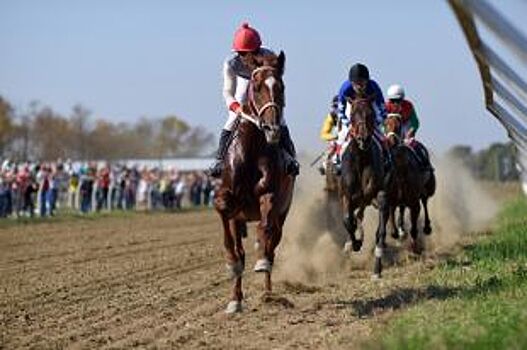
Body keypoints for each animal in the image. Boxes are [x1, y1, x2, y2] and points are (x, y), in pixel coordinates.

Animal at [214, 51, 296, 314]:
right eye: (256, 86)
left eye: (281, 87)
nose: (272, 128)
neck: (250, 153)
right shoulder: (228, 201)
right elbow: (224, 217)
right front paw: (231, 265)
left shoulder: (270, 195)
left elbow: (266, 228)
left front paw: (261, 260)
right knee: (241, 249)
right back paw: (235, 299)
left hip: (284, 211)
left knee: (273, 244)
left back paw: (268, 291)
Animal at [340, 97, 390, 278]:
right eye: (353, 114)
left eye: (370, 114)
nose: (363, 139)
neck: (361, 160)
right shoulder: (347, 196)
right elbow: (348, 220)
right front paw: (354, 243)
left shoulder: (374, 194)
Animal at [384, 112, 438, 252]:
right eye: (385, 124)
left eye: (398, 125)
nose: (391, 141)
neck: (401, 170)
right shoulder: (392, 199)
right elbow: (392, 219)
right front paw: (397, 233)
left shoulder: (414, 202)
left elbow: (414, 225)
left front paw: (415, 247)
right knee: (402, 209)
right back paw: (402, 230)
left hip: (427, 188)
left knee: (425, 202)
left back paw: (427, 228)